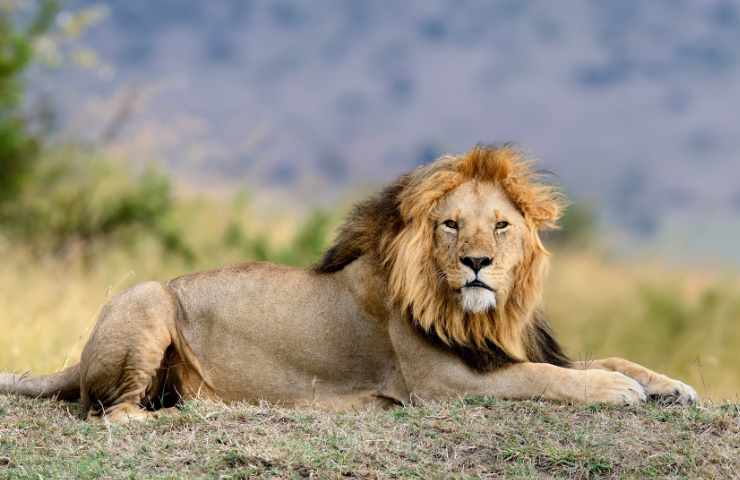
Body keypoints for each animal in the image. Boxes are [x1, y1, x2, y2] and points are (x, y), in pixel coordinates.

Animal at [0, 144, 696, 422]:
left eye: (500, 226)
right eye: (450, 224)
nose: (477, 263)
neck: (483, 313)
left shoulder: (504, 348)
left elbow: (605, 357)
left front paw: (669, 384)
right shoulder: (444, 383)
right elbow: (548, 377)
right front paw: (617, 391)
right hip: (146, 294)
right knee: (114, 414)